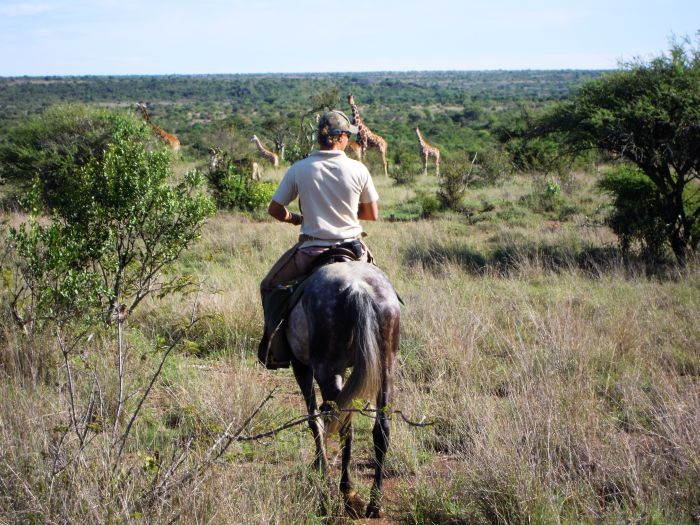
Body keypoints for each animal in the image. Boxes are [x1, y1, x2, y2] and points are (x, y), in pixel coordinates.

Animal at [288, 260, 402, 516]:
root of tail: (358, 288)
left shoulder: (301, 367)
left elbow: (314, 419)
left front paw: (320, 465)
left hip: (326, 368)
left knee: (343, 424)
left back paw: (347, 491)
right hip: (385, 366)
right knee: (381, 428)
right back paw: (374, 503)